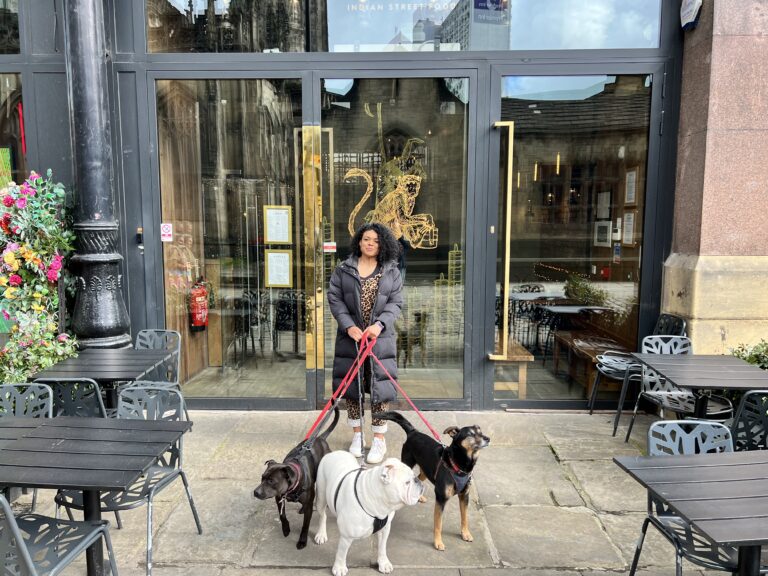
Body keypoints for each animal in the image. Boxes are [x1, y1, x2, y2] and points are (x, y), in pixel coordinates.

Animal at [253, 407, 339, 549]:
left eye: (271, 481)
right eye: (262, 478)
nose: (255, 492)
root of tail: (321, 438)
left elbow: (305, 525)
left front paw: (302, 541)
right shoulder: (279, 497)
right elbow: (282, 516)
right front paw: (286, 529)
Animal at [377, 411, 490, 551]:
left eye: (480, 431)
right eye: (470, 434)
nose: (488, 438)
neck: (459, 464)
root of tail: (413, 432)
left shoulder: (464, 496)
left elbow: (465, 518)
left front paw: (465, 533)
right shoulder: (441, 499)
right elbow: (438, 524)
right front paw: (438, 542)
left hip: (426, 471)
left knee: (418, 479)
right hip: (408, 464)